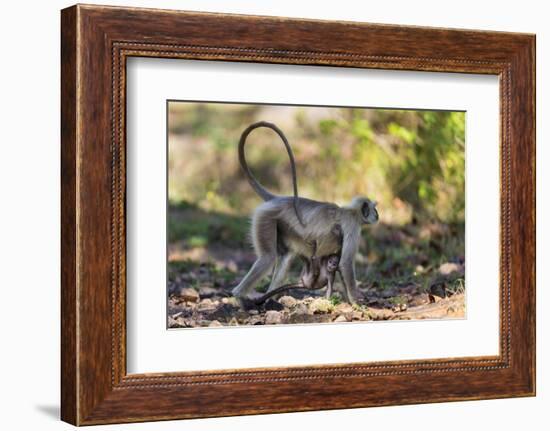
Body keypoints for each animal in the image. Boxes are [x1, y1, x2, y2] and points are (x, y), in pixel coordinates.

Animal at [233, 120, 380, 304]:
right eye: (374, 209)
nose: (377, 215)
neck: (351, 210)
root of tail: (279, 199)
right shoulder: (353, 225)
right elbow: (345, 263)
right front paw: (356, 302)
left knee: (285, 257)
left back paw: (270, 298)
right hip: (266, 217)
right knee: (268, 258)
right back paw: (239, 296)